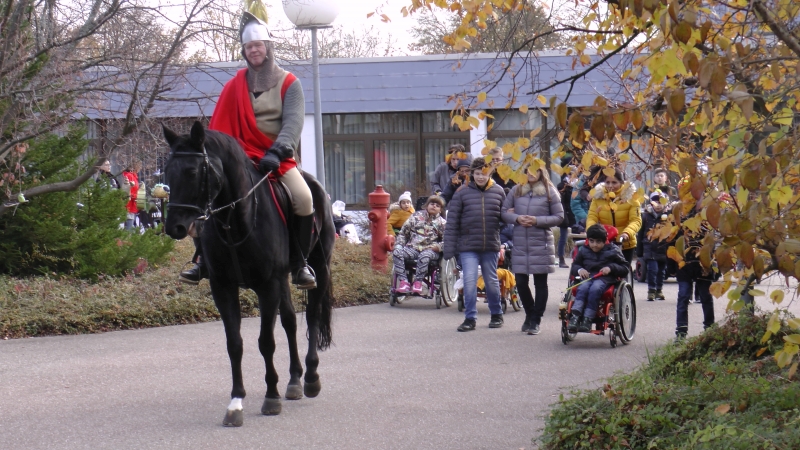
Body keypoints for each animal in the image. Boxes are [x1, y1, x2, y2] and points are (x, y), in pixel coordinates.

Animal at [162, 121, 334, 428]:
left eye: (192, 171)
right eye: (168, 172)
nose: (174, 227)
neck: (235, 220)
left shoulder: (268, 287)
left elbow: (266, 342)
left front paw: (271, 396)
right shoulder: (223, 288)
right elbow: (235, 344)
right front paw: (236, 402)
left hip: (319, 268)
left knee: (313, 316)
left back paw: (311, 377)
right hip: (284, 280)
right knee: (290, 322)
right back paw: (294, 380)